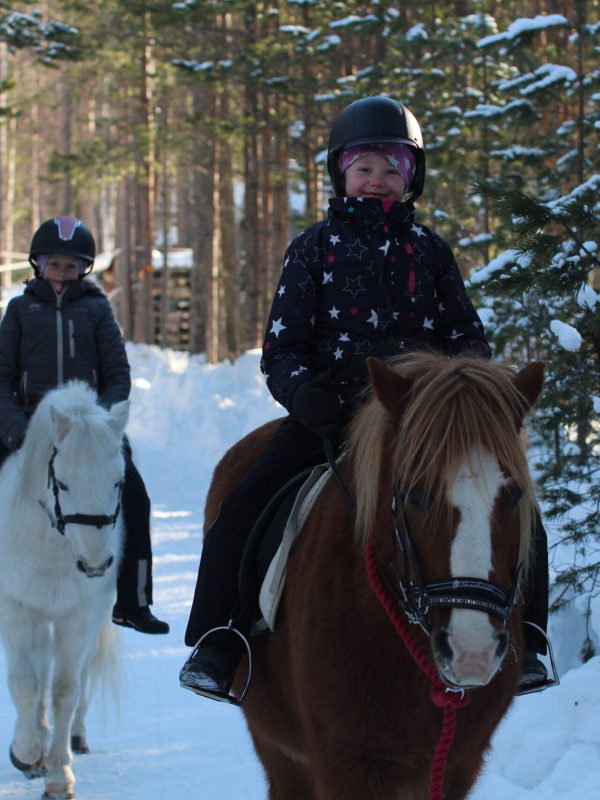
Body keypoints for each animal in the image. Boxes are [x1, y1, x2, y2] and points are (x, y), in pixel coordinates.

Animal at [0, 382, 130, 800]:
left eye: (118, 481)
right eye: (64, 483)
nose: (95, 564)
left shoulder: (80, 619)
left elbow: (65, 691)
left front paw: (59, 775)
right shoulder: (18, 610)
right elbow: (25, 684)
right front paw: (27, 754)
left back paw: (74, 738)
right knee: (37, 671)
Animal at [205, 354, 544, 796]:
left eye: (515, 494)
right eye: (416, 495)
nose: (473, 649)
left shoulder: (458, 766)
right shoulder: (349, 765)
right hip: (280, 753)